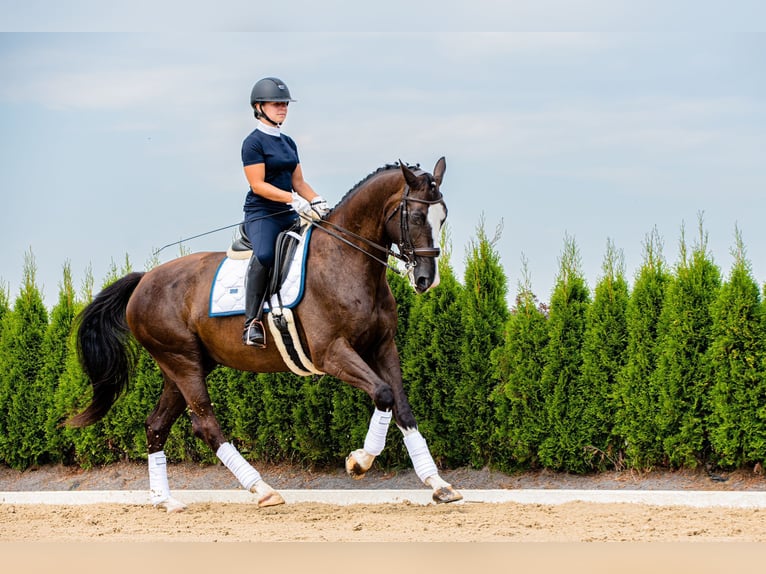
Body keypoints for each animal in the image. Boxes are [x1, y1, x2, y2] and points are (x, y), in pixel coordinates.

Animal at [69, 158, 462, 512]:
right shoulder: (331, 353)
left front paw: (438, 484)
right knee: (205, 424)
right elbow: (383, 394)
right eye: (415, 217)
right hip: (182, 362)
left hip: (180, 367)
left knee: (155, 426)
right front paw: (358, 462)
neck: (345, 260)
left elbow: (403, 407)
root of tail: (144, 280)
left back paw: (165, 500)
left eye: (442, 217)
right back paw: (262, 490)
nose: (426, 280)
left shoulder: (383, 347)